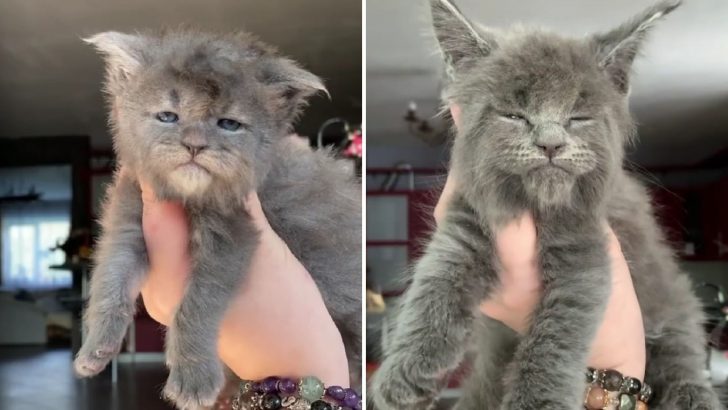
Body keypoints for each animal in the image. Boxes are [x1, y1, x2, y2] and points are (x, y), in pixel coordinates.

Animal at [72, 29, 360, 410]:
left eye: (228, 124)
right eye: (168, 116)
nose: (194, 145)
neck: (186, 199)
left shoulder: (232, 238)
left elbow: (197, 304)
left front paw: (194, 378)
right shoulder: (128, 222)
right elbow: (110, 281)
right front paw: (95, 348)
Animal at [370, 0, 724, 410]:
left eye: (578, 117)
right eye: (514, 115)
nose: (550, 144)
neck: (537, 207)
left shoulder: (584, 252)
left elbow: (555, 337)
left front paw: (536, 400)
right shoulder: (468, 220)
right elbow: (436, 282)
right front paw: (404, 372)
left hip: (670, 296)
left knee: (682, 347)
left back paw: (693, 395)